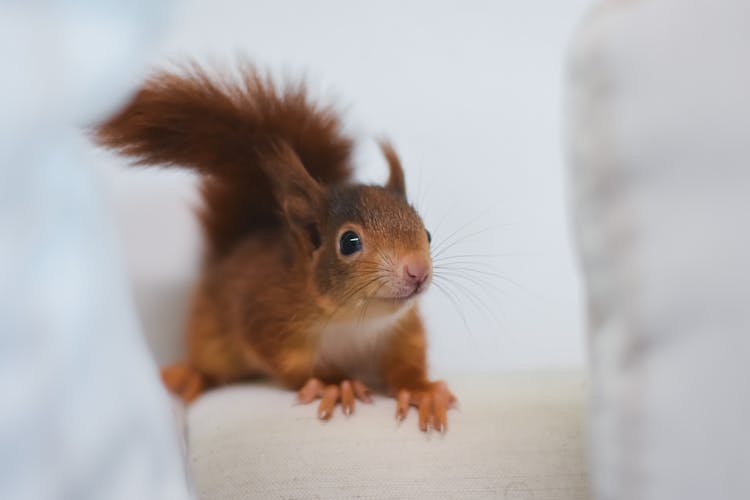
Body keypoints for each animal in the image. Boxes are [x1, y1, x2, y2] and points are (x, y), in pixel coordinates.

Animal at [97, 61, 456, 430]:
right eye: (349, 241)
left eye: (427, 233)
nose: (417, 271)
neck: (355, 318)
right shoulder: (266, 315)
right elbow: (288, 363)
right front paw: (333, 382)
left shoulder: (400, 330)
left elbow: (406, 360)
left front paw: (420, 389)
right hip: (210, 333)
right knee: (210, 364)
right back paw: (192, 375)